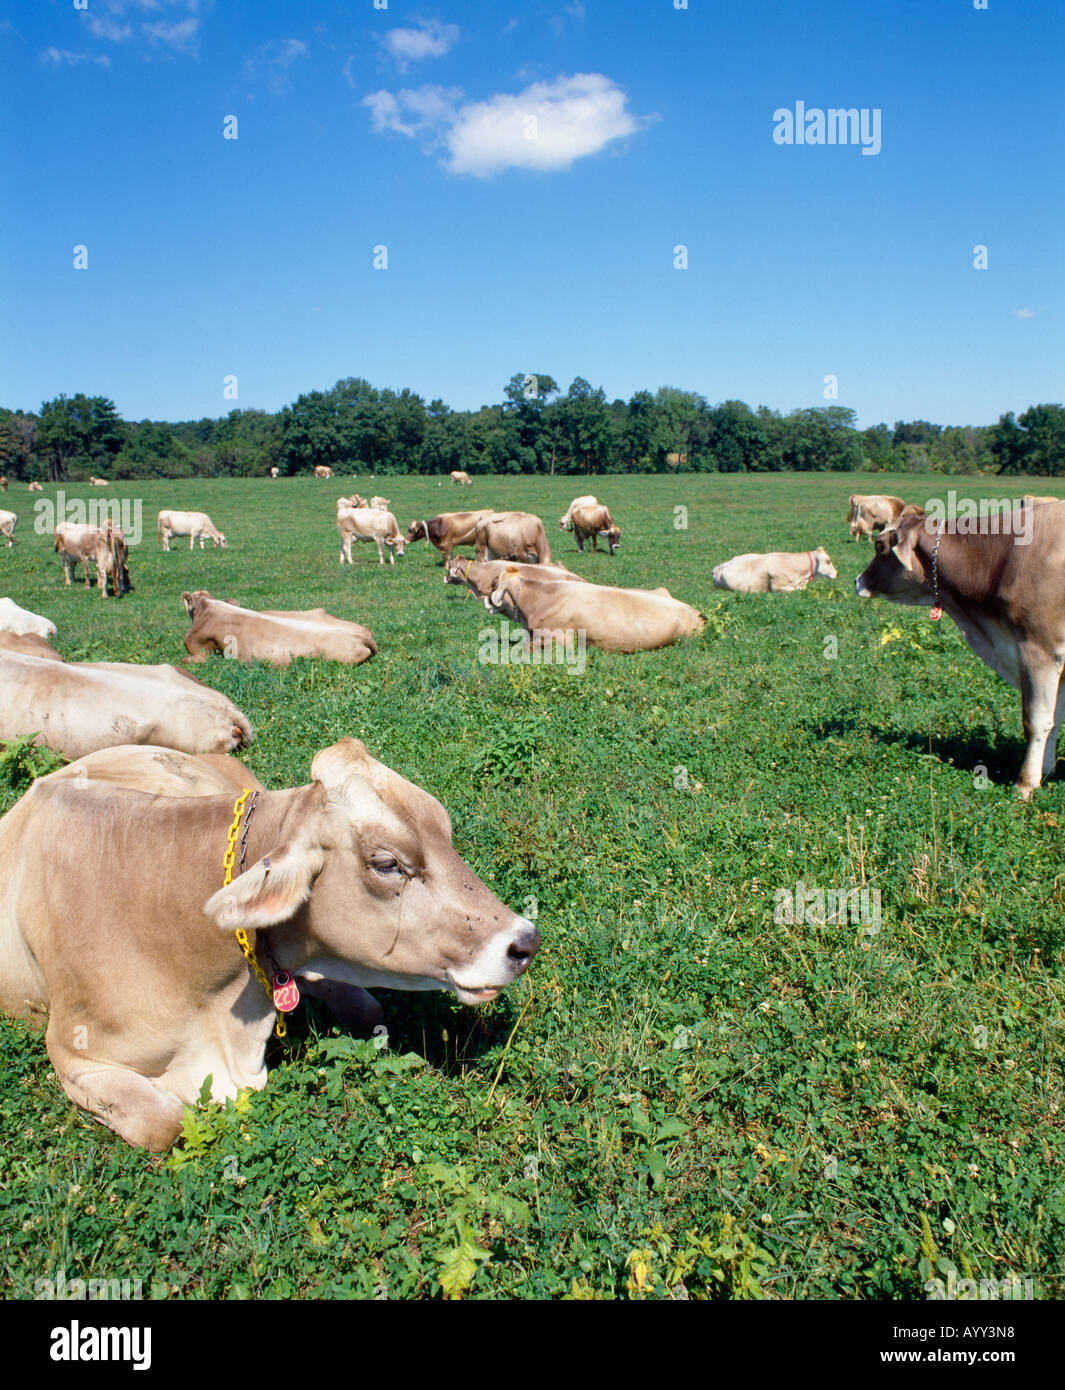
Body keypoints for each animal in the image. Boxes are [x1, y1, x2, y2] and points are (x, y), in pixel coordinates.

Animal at [0, 737, 540, 1148]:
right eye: (387, 864)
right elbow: (162, 1123)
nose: (525, 941)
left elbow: (367, 1008)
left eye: (445, 834)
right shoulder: (72, 1053)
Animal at [856, 501, 1065, 799]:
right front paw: (1045, 772)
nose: (858, 580)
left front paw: (1025, 784)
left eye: (880, 546)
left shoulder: (1038, 650)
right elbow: (1054, 719)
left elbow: (1036, 720)